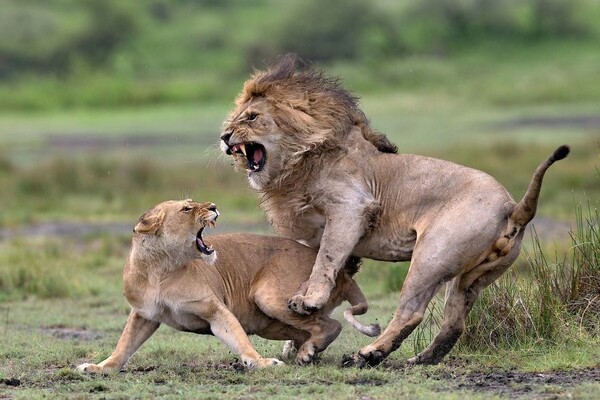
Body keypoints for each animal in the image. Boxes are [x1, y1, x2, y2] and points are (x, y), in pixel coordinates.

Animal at [76, 199, 380, 372]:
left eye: (192, 202)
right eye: (186, 208)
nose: (212, 207)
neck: (160, 270)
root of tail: (342, 274)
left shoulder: (214, 309)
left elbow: (238, 338)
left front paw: (260, 363)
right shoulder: (143, 314)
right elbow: (124, 346)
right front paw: (100, 368)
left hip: (268, 296)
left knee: (332, 324)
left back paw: (306, 354)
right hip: (270, 322)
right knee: (317, 327)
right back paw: (307, 351)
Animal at [218, 54, 568, 368]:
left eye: (251, 117)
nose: (224, 136)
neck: (298, 162)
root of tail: (513, 207)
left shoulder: (352, 207)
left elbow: (324, 261)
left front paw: (308, 303)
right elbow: (319, 270)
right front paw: (299, 340)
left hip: (432, 255)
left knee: (411, 312)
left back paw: (367, 355)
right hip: (472, 278)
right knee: (455, 322)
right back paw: (421, 359)